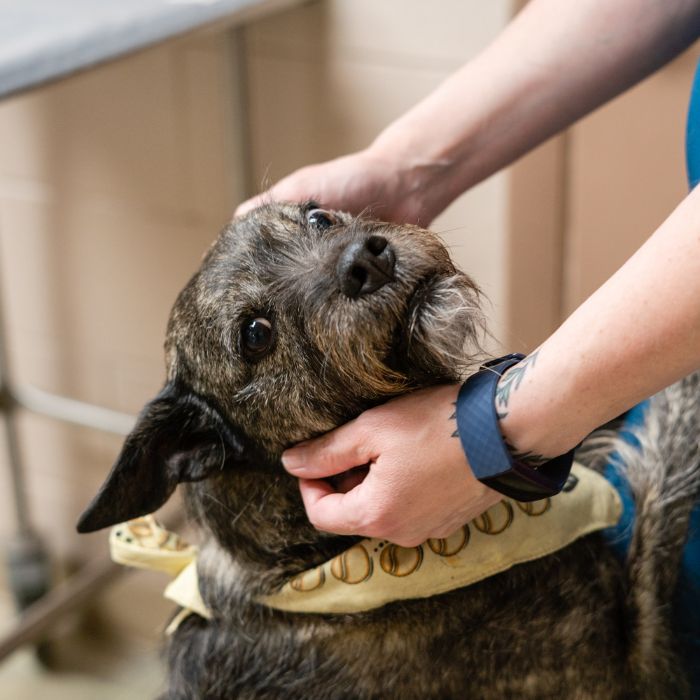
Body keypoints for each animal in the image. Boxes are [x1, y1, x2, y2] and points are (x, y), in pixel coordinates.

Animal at [76, 201, 700, 696]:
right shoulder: (633, 653)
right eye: (255, 334)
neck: (312, 560)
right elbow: (663, 484)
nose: (368, 258)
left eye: (318, 217)